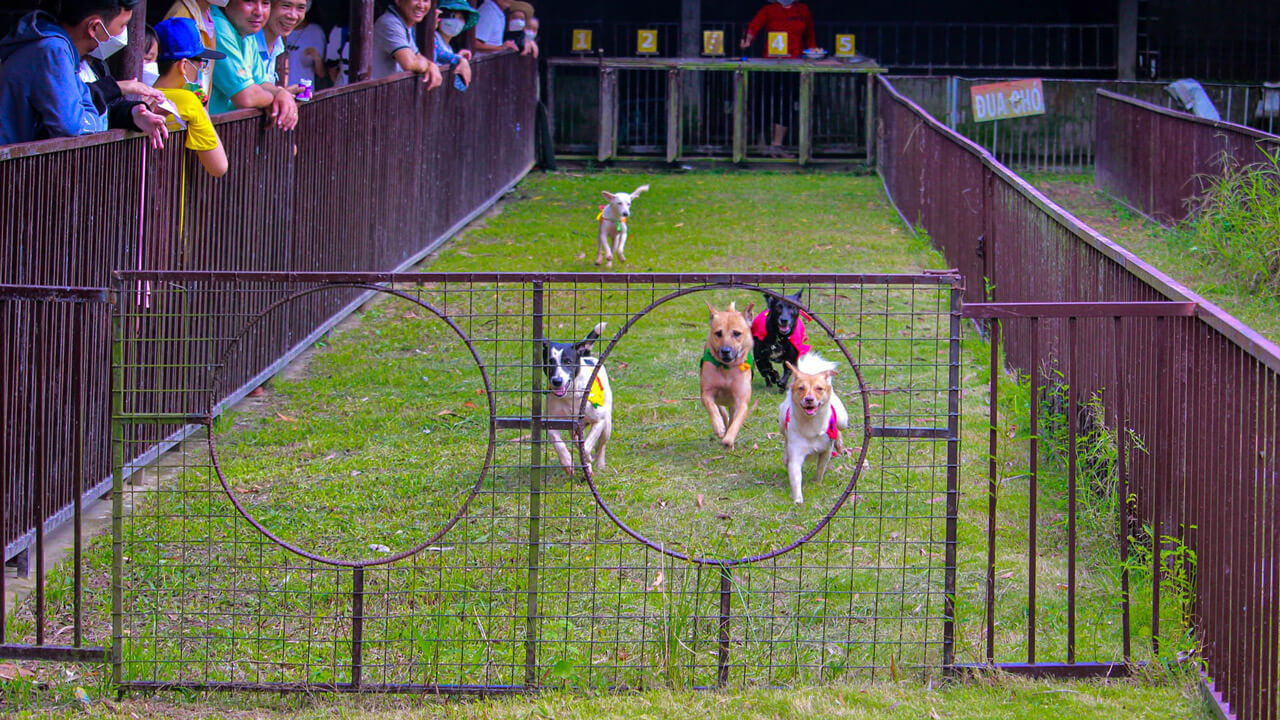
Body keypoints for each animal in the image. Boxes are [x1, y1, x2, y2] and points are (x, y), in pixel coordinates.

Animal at [540, 322, 614, 474]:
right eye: (550, 362)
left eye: (568, 362)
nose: (557, 381)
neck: (570, 396)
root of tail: (586, 356)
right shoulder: (552, 423)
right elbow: (558, 443)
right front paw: (567, 462)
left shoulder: (599, 421)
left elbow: (587, 446)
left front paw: (588, 458)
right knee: (575, 439)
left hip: (607, 425)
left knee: (601, 444)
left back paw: (599, 463)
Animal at [696, 298, 752, 445]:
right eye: (718, 333)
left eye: (736, 333)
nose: (725, 350)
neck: (727, 368)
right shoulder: (707, 392)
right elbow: (712, 406)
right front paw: (719, 426)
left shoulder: (741, 400)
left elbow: (737, 421)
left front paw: (729, 439)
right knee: (722, 410)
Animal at [773, 351, 844, 502]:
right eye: (801, 388)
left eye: (819, 388)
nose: (809, 399)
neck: (811, 424)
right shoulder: (796, 455)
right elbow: (795, 477)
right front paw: (798, 499)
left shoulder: (826, 451)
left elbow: (821, 468)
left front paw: (817, 482)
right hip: (782, 425)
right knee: (785, 438)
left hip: (842, 419)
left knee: (839, 429)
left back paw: (840, 443)